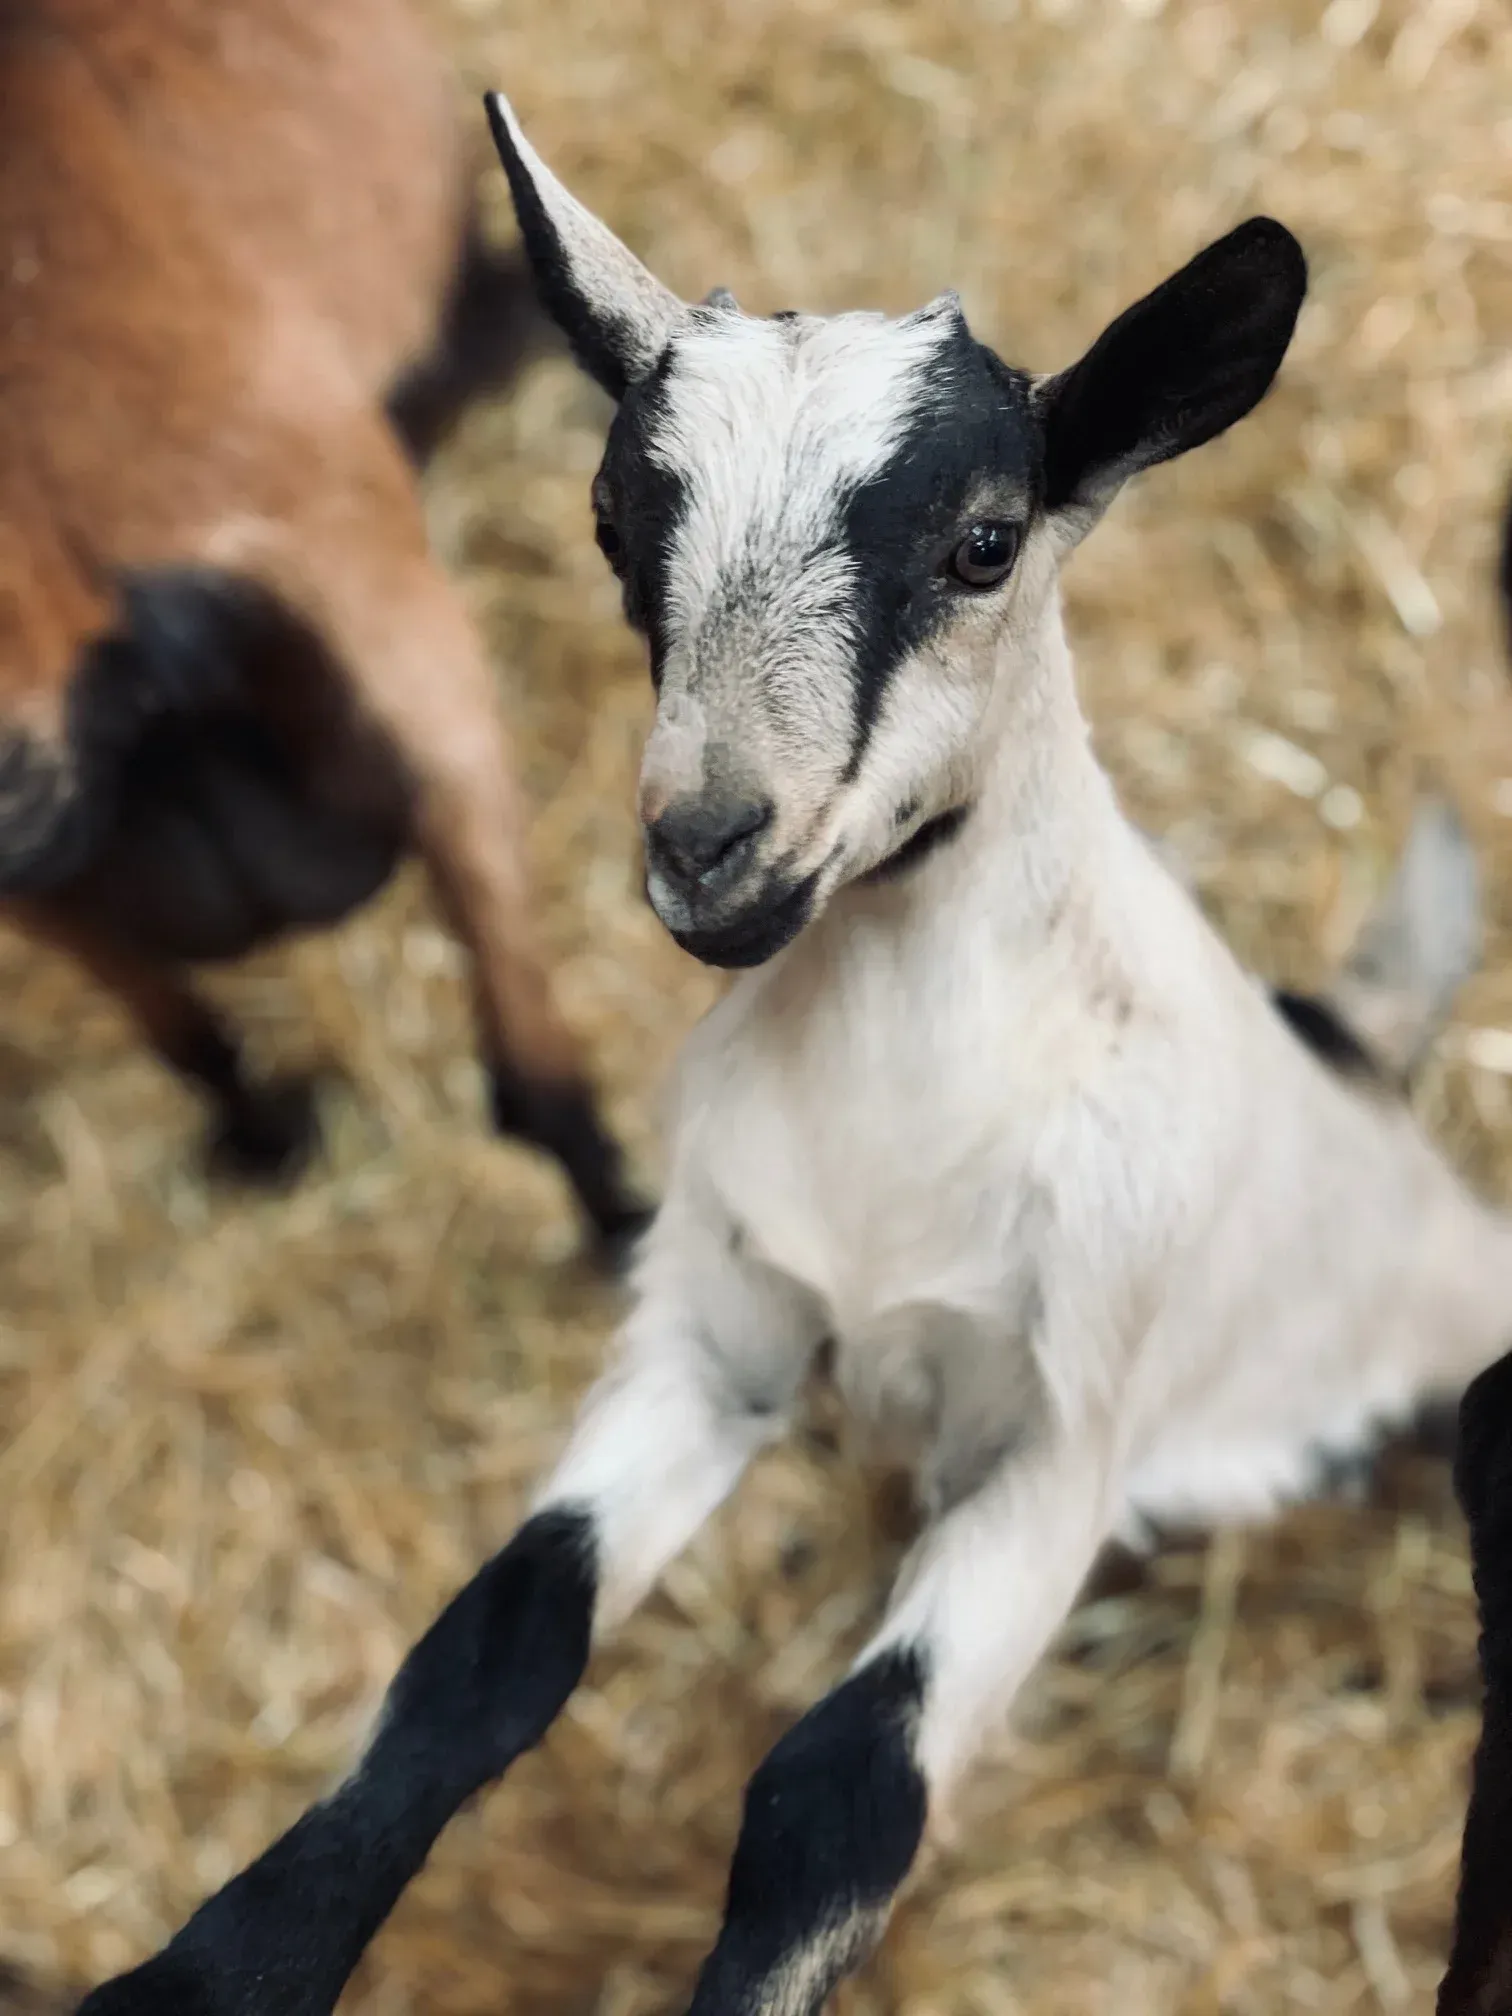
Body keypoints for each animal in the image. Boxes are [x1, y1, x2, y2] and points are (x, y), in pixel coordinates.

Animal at [72, 97, 1512, 2016]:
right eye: (614, 520)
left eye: (984, 541)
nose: (706, 847)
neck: (911, 1095)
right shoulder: (716, 1332)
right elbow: (484, 1650)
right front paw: (214, 1972)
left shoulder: (1057, 1443)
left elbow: (841, 1793)